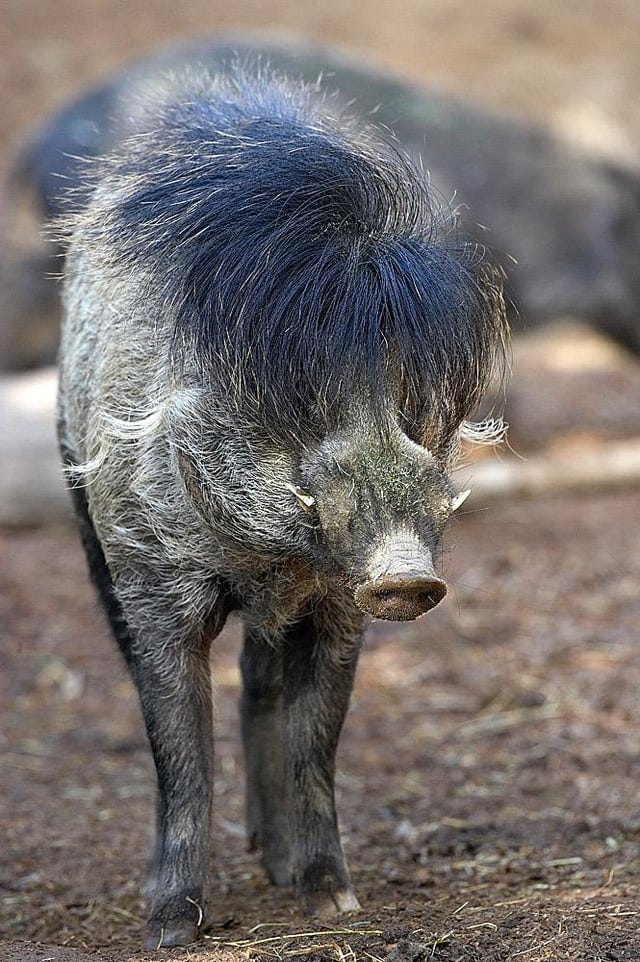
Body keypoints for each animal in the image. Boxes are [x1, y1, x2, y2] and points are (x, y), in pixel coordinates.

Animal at [57, 64, 508, 948]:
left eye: (410, 400)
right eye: (302, 400)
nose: (408, 576)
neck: (270, 563)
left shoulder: (337, 603)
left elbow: (316, 741)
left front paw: (334, 903)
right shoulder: (148, 576)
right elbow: (178, 748)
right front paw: (170, 930)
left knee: (260, 689)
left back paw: (273, 865)